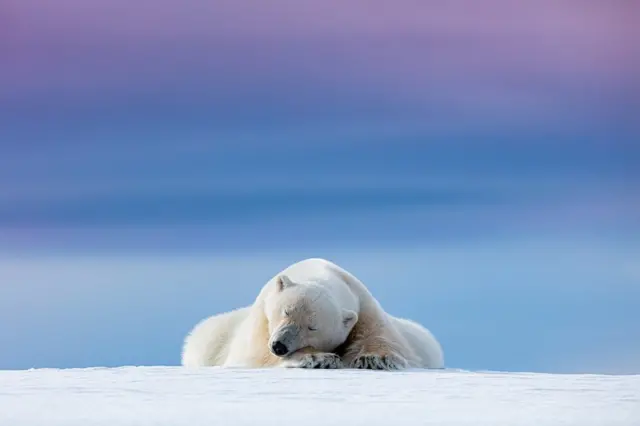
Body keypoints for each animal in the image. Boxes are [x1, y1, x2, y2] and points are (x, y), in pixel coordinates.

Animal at [181, 258, 444, 370]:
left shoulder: (364, 305)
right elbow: (255, 355)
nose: (279, 346)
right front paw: (318, 358)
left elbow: (385, 339)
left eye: (312, 327)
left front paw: (373, 358)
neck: (318, 272)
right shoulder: (261, 321)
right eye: (285, 311)